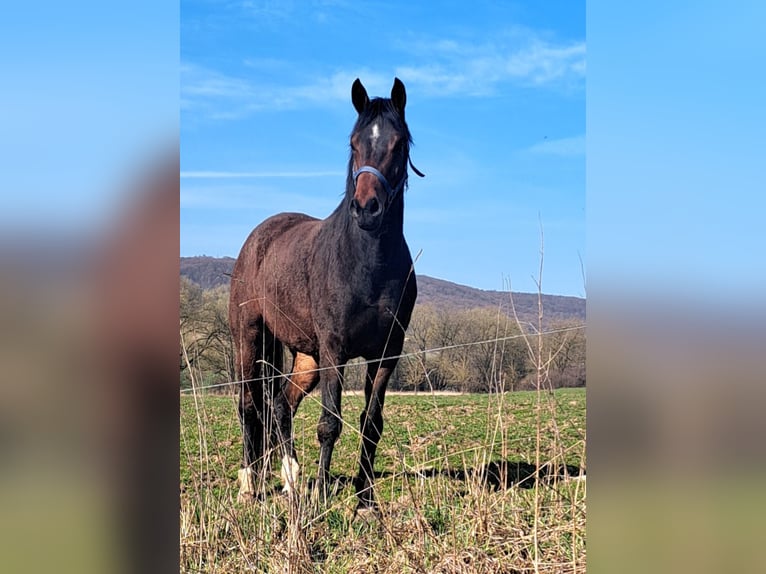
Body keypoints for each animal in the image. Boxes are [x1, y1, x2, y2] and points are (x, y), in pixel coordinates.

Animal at [229, 77, 422, 512]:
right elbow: (329, 424)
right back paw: (251, 483)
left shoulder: (386, 354)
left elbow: (371, 423)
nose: (367, 209)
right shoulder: (335, 350)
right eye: (353, 143)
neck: (367, 264)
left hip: (306, 358)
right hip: (250, 338)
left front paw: (365, 499)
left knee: (280, 405)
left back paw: (290, 479)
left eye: (399, 143)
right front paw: (321, 496)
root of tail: (257, 237)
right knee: (249, 405)